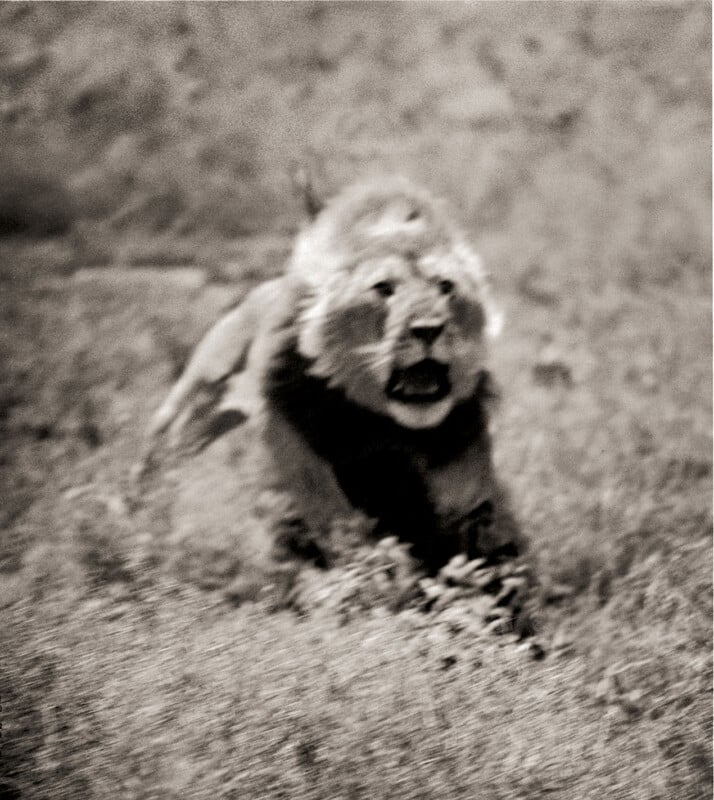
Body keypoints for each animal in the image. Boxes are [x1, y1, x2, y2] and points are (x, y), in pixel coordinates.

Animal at [140, 176, 525, 575]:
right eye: (384, 289)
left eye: (446, 287)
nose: (428, 328)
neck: (382, 424)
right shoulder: (294, 438)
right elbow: (332, 516)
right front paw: (374, 569)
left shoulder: (458, 448)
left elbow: (475, 517)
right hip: (196, 403)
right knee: (162, 458)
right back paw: (144, 522)